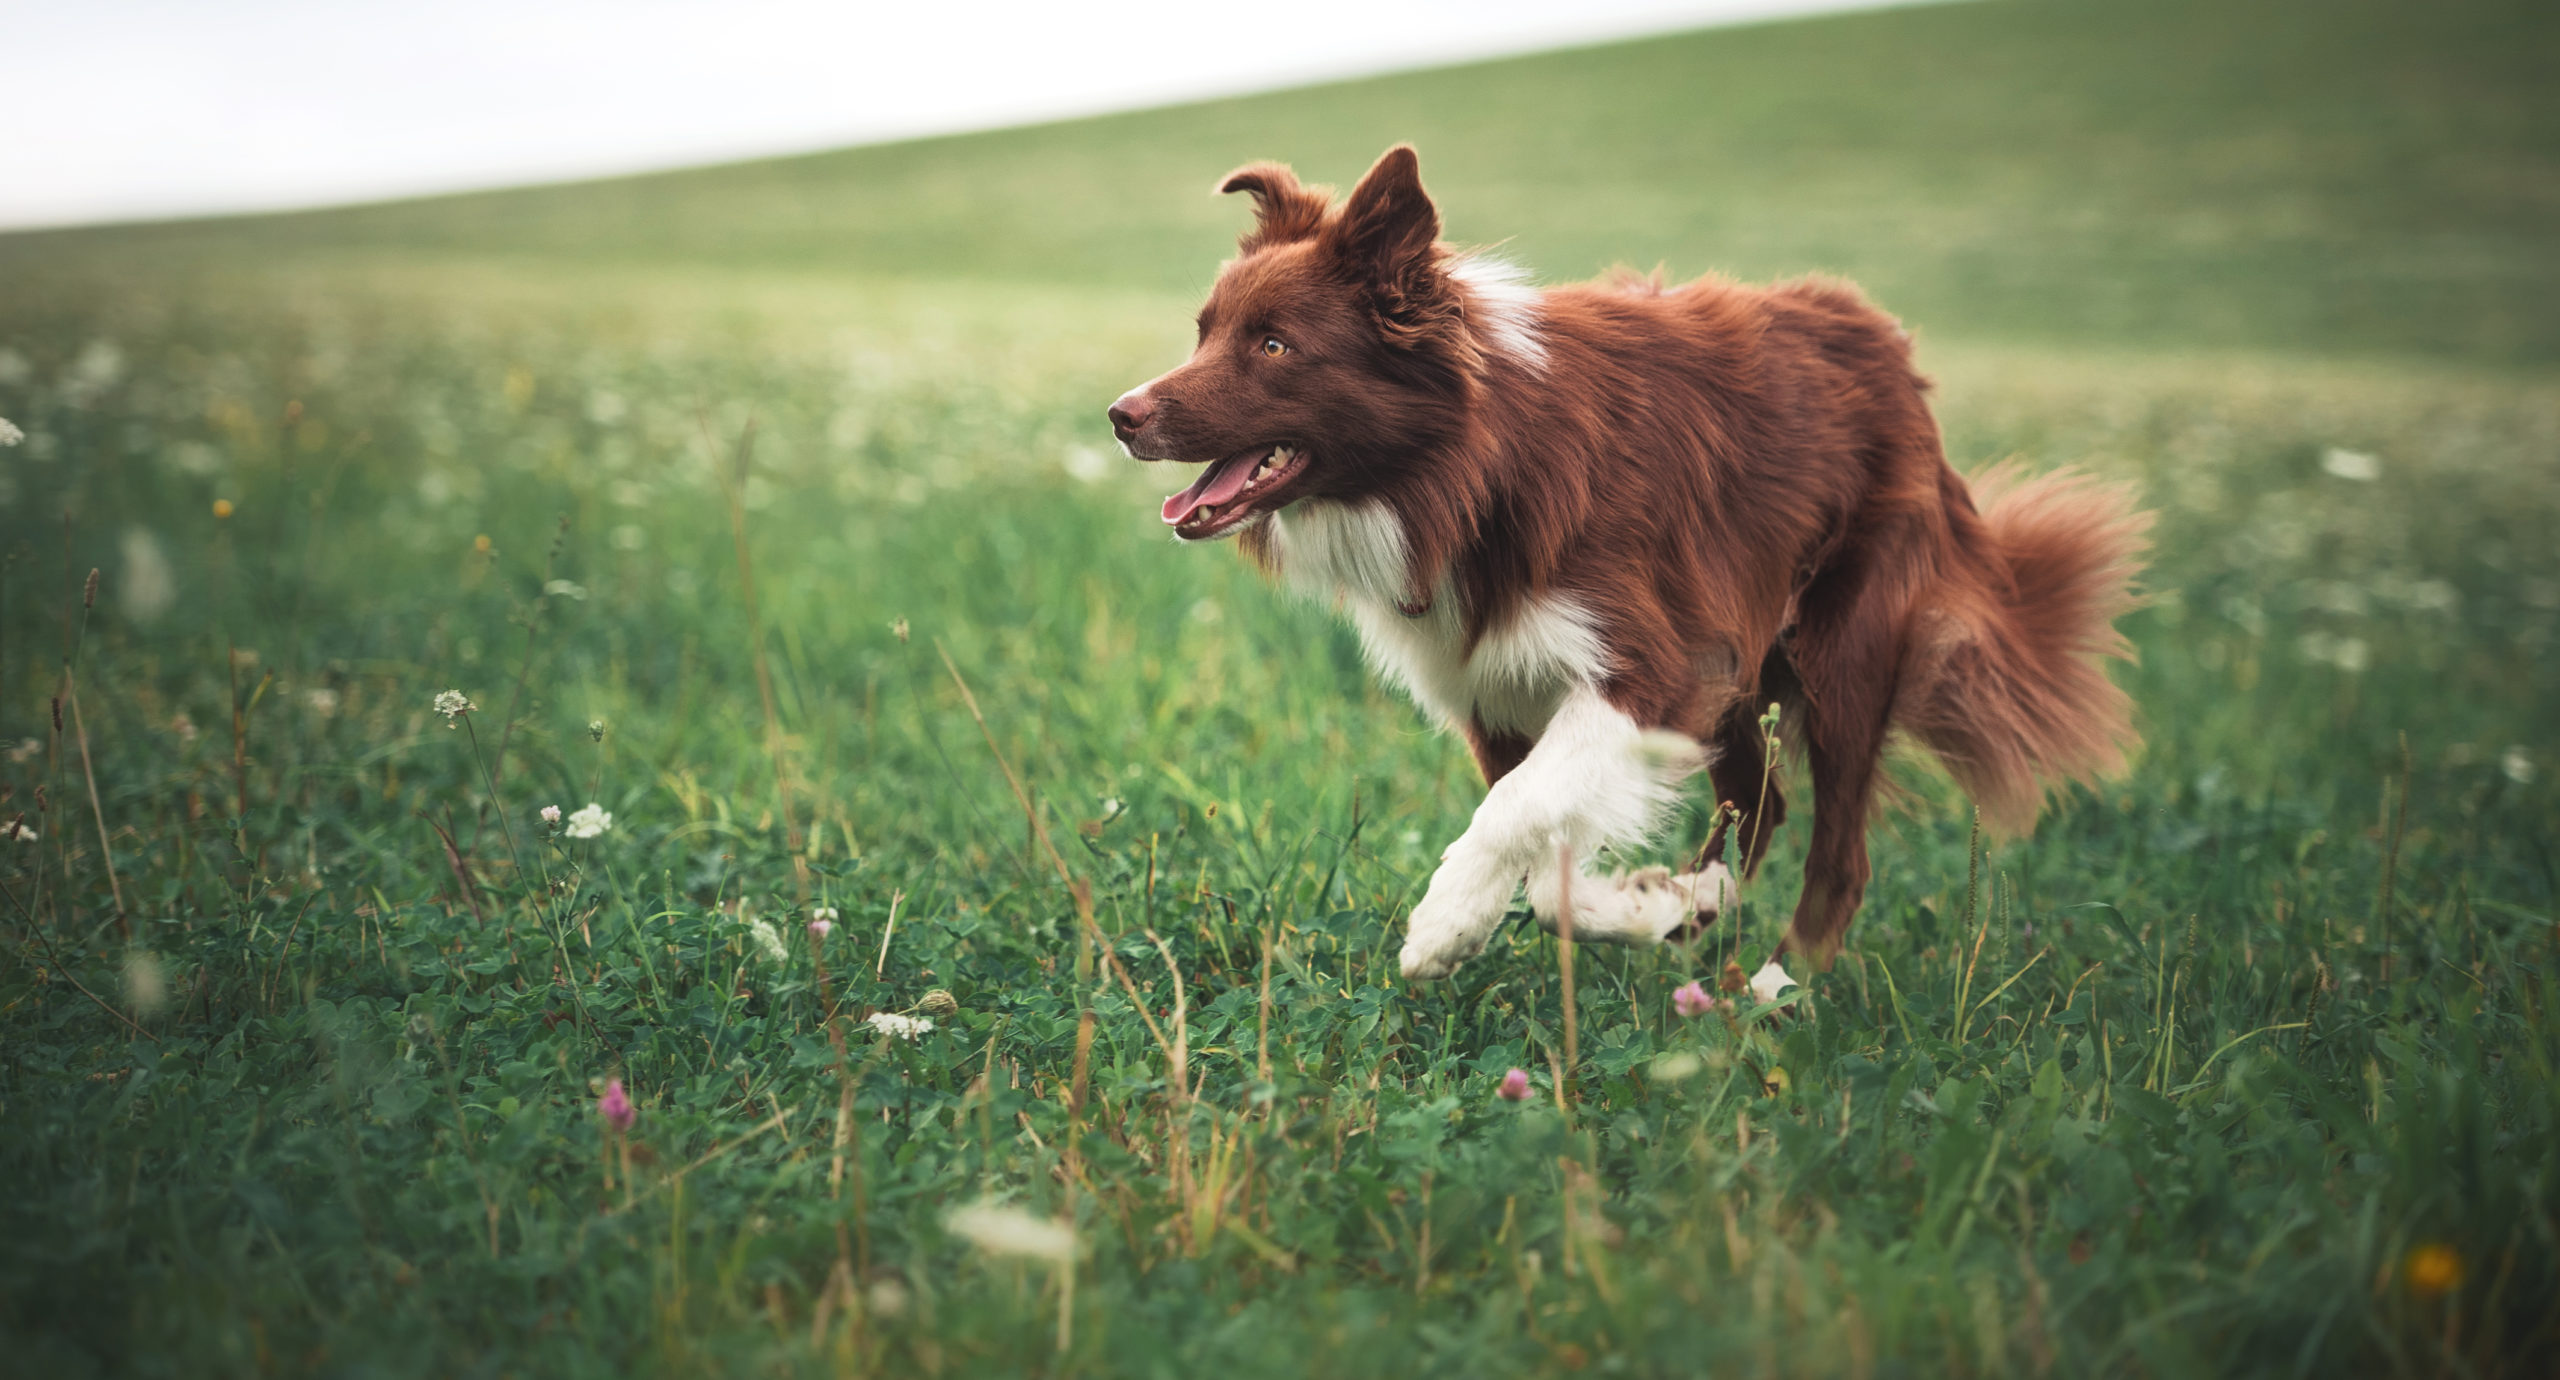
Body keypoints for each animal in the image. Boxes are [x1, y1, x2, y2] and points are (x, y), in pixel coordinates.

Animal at [1111, 145, 2150, 998]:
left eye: (1274, 344)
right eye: (1204, 332)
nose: (1122, 416)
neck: (1465, 469)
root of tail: (1887, 343)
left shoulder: (1656, 664)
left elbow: (1516, 813)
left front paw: (1445, 925)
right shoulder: (1499, 687)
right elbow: (1546, 861)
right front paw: (1652, 907)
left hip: (1842, 644)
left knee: (1837, 852)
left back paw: (1775, 990)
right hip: (1748, 675)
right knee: (1761, 805)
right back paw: (1707, 901)